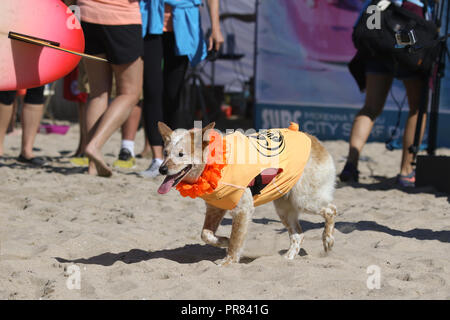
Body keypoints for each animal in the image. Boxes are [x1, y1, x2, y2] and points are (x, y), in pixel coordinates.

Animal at [156, 121, 336, 266]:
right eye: (165, 153)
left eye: (181, 154)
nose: (161, 169)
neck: (211, 164)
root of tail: (313, 139)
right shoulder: (215, 208)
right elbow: (205, 234)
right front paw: (223, 241)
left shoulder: (243, 209)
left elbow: (236, 241)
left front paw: (228, 261)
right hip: (284, 206)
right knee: (298, 235)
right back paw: (287, 259)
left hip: (304, 200)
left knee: (331, 210)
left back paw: (327, 239)